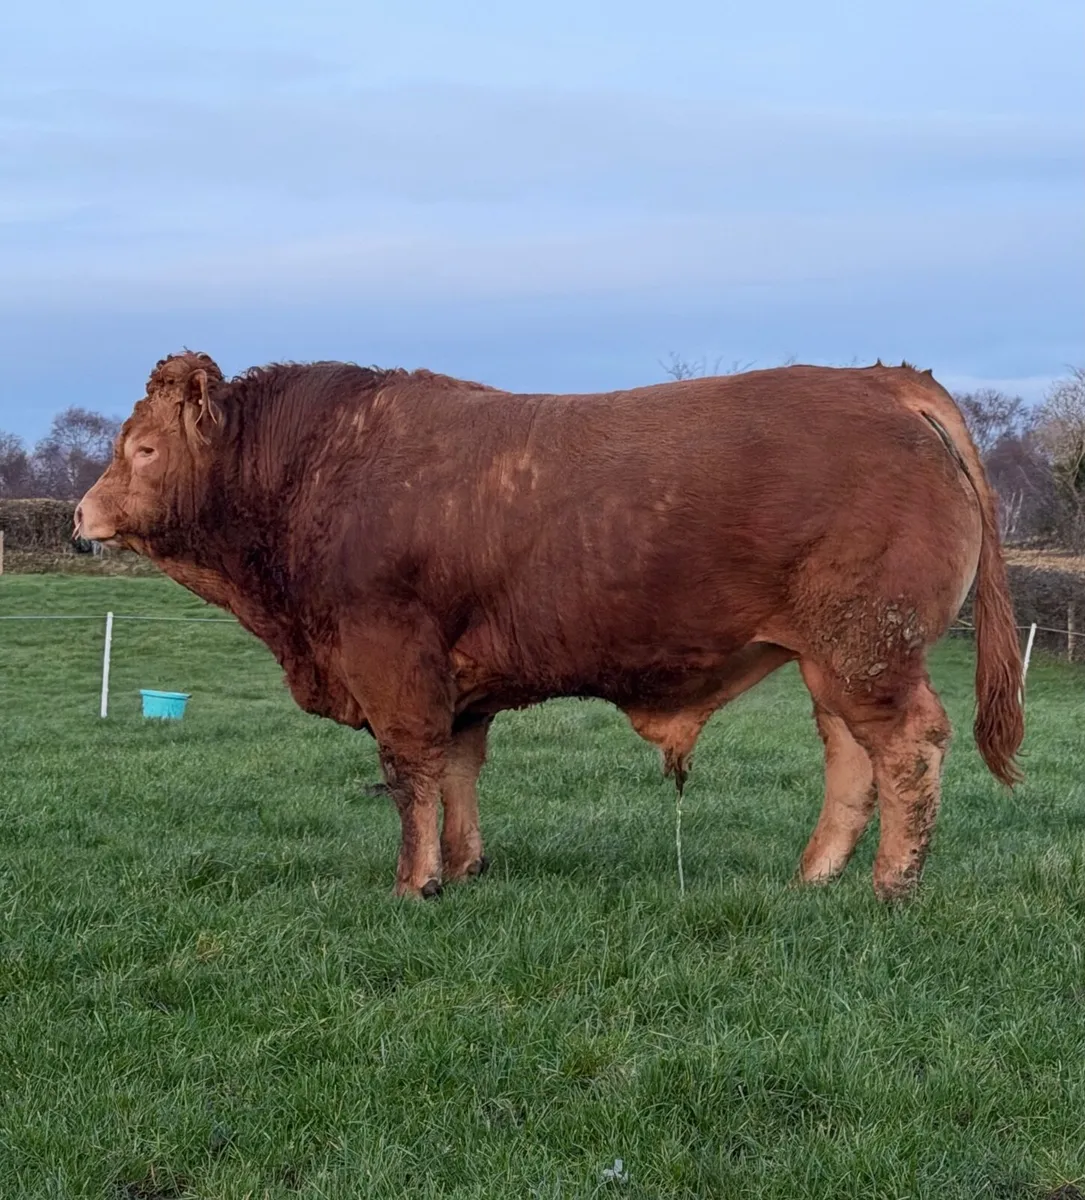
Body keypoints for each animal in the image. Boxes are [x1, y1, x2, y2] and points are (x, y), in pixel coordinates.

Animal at [75, 352, 1025, 902]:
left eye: (145, 450)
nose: (81, 514)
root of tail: (877, 380)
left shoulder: (391, 657)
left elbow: (410, 772)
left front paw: (413, 884)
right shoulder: (453, 683)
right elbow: (457, 769)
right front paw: (464, 866)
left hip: (867, 650)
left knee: (908, 747)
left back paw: (890, 886)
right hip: (835, 658)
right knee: (850, 756)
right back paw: (814, 876)